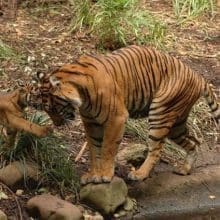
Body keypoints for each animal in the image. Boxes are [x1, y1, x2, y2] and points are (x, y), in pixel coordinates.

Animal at [33, 45, 219, 185]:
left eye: (54, 108)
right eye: (47, 110)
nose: (57, 124)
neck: (82, 96)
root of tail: (198, 77)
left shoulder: (116, 118)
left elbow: (107, 148)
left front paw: (105, 175)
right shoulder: (91, 123)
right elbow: (94, 149)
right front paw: (92, 174)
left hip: (160, 114)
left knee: (157, 150)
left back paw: (139, 174)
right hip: (176, 124)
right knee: (194, 142)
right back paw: (184, 169)